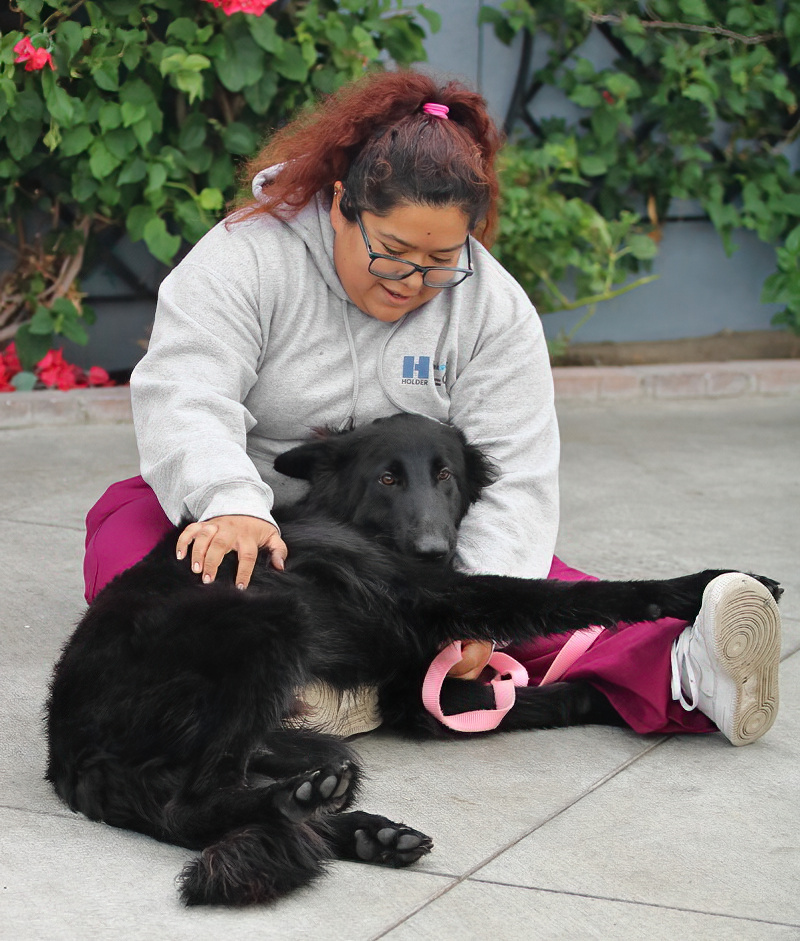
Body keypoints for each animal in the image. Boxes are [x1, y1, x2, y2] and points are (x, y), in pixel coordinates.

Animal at [46, 413, 781, 906]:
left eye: (446, 474)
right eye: (387, 477)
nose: (432, 548)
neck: (355, 524)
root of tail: (69, 746)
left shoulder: (416, 686)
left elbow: (527, 696)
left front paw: (610, 695)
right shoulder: (441, 601)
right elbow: (576, 596)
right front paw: (706, 581)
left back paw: (359, 828)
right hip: (267, 621)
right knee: (195, 803)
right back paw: (306, 803)